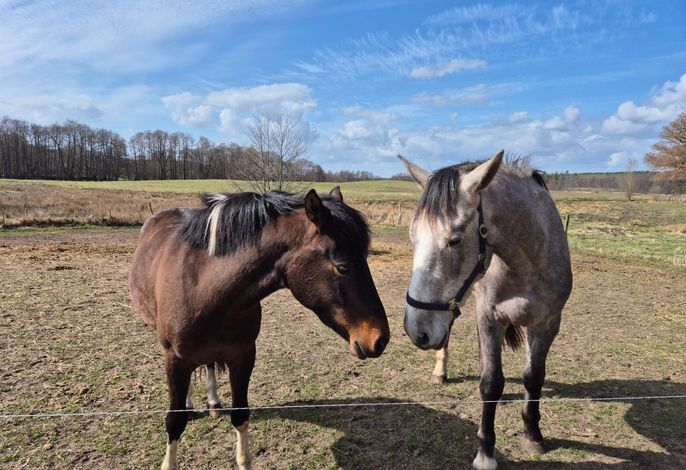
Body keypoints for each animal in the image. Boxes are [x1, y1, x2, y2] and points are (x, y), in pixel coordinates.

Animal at [129, 187, 390, 470]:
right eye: (342, 267)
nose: (380, 339)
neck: (203, 286)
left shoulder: (243, 356)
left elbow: (241, 415)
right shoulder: (175, 359)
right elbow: (175, 421)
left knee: (208, 365)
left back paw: (213, 401)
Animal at [398, 151, 572, 470]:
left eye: (455, 239)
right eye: (412, 236)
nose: (416, 330)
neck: (527, 264)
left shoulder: (547, 324)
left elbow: (533, 376)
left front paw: (532, 433)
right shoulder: (489, 317)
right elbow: (491, 382)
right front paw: (486, 453)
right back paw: (440, 371)